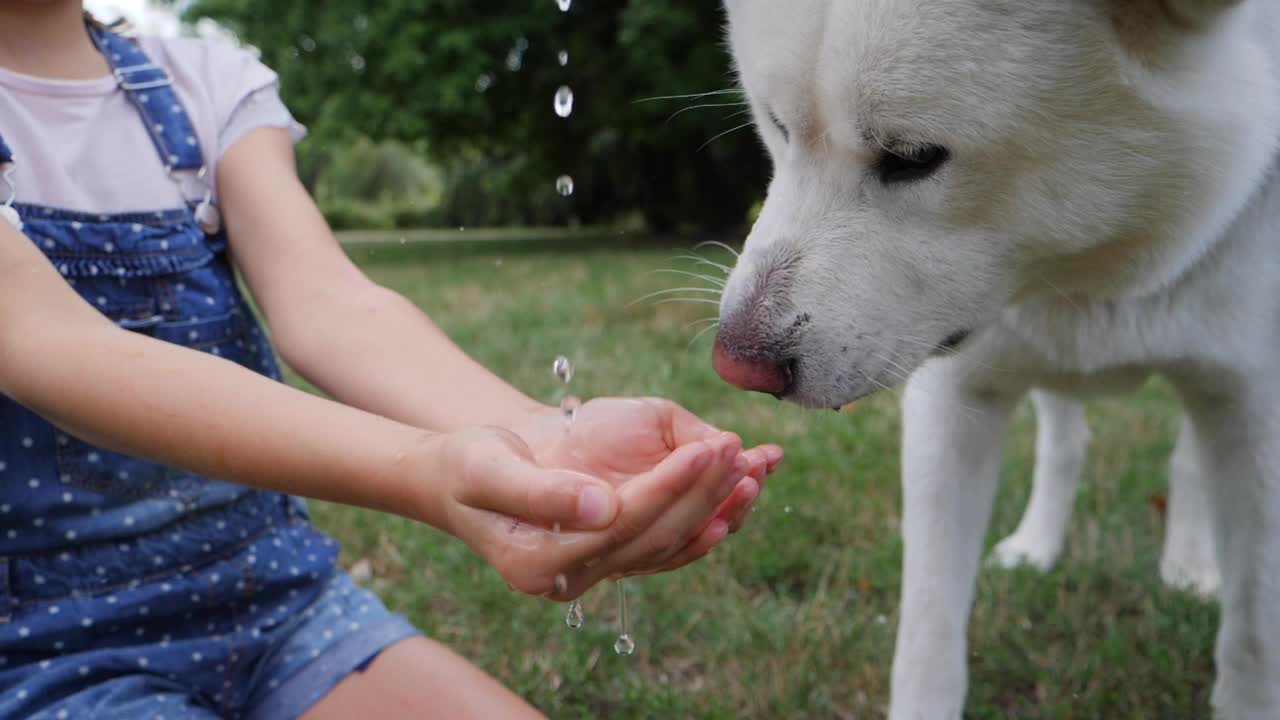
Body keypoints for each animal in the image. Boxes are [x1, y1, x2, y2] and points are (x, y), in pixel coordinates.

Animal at [716, 2, 1274, 712]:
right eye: (778, 126)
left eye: (912, 158)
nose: (736, 365)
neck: (1097, 272)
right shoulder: (952, 406)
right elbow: (928, 638)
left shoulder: (1253, 414)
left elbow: (1254, 636)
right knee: (1066, 442)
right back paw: (1038, 545)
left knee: (1186, 461)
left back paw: (1189, 563)